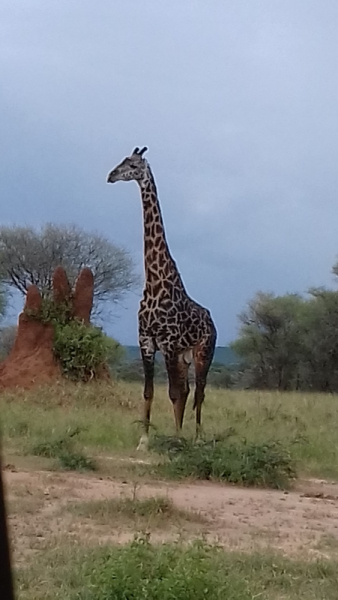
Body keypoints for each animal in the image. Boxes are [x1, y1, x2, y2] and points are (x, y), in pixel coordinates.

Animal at [107, 147, 218, 442]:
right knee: (189, 391)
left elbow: (173, 393)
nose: (111, 175)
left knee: (199, 392)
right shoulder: (146, 341)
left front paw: (177, 440)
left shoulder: (167, 343)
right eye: (122, 161)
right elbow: (150, 392)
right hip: (183, 356)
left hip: (203, 353)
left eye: (133, 165)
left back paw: (197, 437)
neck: (155, 282)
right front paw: (144, 441)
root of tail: (213, 323)